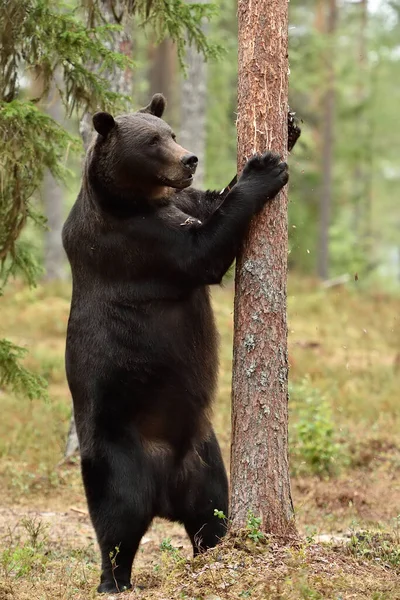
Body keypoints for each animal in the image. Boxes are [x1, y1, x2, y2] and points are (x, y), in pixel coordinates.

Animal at [61, 95, 294, 596]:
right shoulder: (134, 245)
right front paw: (264, 169)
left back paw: (214, 547)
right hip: (117, 450)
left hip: (204, 457)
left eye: (169, 131)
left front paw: (287, 128)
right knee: (118, 519)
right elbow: (202, 251)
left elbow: (211, 203)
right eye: (153, 141)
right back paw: (114, 580)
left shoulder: (179, 204)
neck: (138, 201)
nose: (189, 158)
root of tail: (166, 487)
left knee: (212, 511)